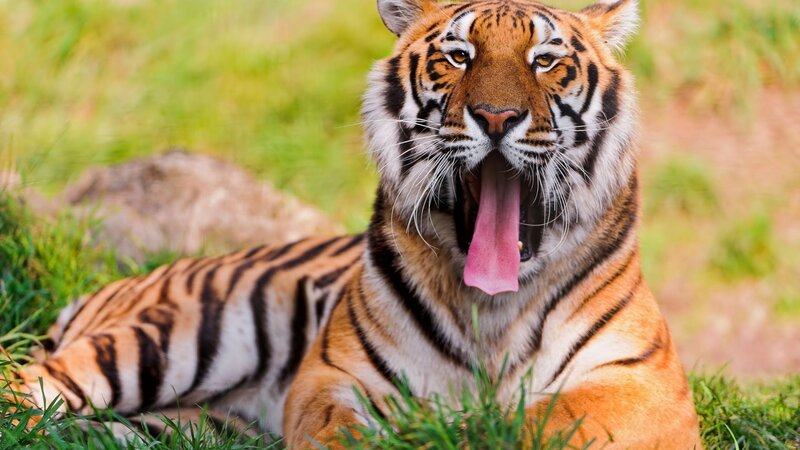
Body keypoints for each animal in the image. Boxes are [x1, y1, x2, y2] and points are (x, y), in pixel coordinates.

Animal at [4, 0, 702, 448]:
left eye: (545, 61)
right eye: (458, 56)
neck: (492, 308)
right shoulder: (332, 377)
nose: (496, 116)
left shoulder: (643, 386)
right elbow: (341, 430)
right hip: (172, 335)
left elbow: (543, 422)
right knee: (28, 388)